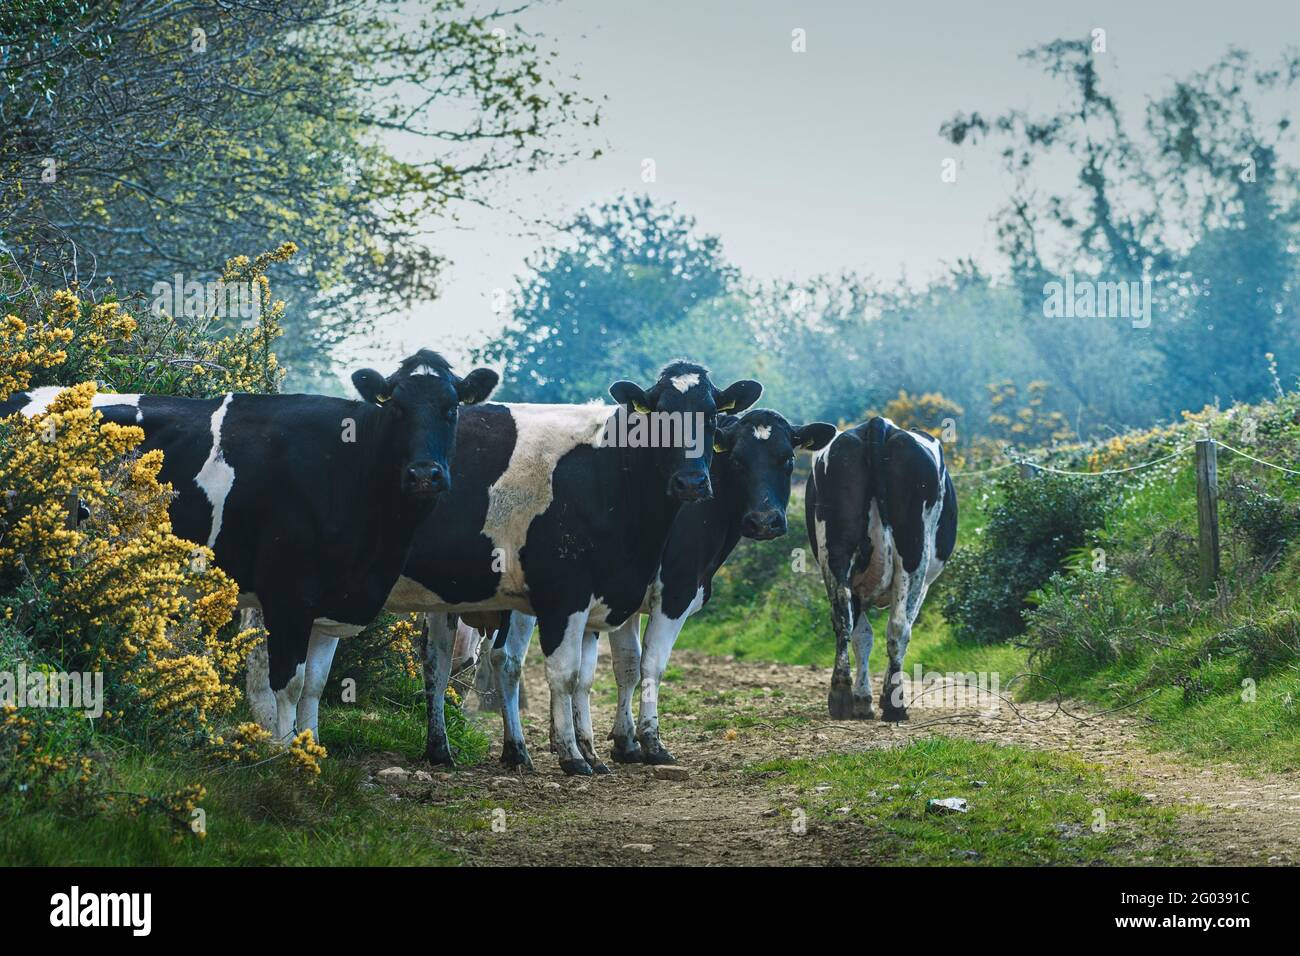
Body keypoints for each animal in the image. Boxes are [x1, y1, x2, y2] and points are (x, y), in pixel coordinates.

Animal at [3, 350, 499, 740]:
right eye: (396, 408)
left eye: (452, 408)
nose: (424, 474)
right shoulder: (287, 594)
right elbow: (287, 683)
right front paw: (284, 754)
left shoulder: (328, 602)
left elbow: (314, 686)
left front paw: (309, 751)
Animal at [288, 361, 762, 775]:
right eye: (659, 416)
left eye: (711, 418)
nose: (692, 482)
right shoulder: (572, 594)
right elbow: (569, 673)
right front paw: (578, 755)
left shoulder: (604, 596)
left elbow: (594, 672)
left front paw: (592, 750)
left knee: (426, 662)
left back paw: (428, 750)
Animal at [480, 408, 836, 769]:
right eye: (737, 461)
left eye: (787, 458)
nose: (764, 521)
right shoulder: (675, 590)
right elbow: (650, 663)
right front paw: (650, 743)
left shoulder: (624, 601)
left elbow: (626, 665)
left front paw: (624, 743)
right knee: (509, 661)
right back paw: (519, 748)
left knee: (500, 657)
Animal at [805, 416, 957, 721]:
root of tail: (877, 424)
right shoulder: (923, 585)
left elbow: (862, 635)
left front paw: (862, 700)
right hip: (913, 554)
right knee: (898, 628)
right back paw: (894, 705)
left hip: (835, 550)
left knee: (843, 619)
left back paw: (841, 695)